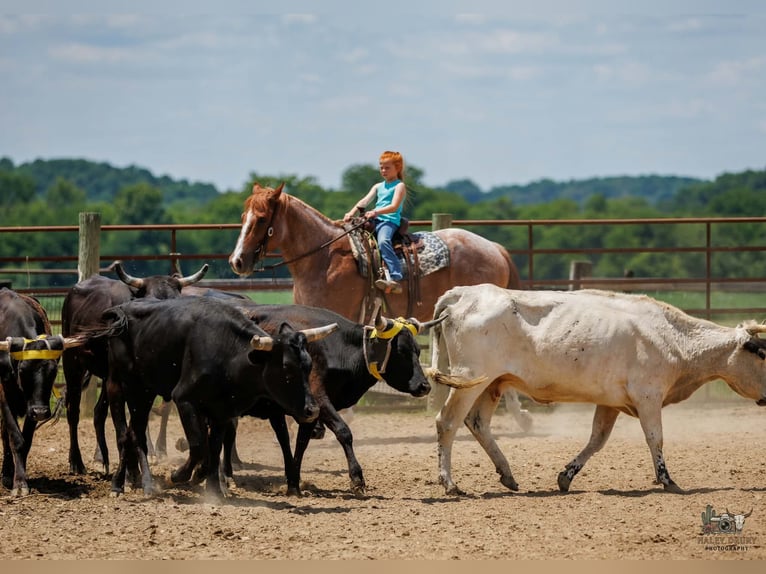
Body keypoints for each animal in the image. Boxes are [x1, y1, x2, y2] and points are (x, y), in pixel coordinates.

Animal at [228, 182, 532, 432]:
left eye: (262, 219)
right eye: (243, 218)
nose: (237, 261)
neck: (325, 258)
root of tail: (494, 248)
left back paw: (521, 416)